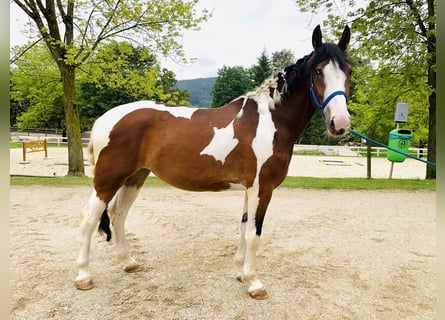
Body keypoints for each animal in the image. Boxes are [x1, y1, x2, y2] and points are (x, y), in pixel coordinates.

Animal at [77, 25, 354, 300]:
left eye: (349, 71)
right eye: (317, 71)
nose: (340, 123)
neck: (271, 121)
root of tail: (104, 119)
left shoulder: (250, 189)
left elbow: (244, 228)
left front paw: (241, 273)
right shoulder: (262, 189)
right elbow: (254, 234)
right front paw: (254, 283)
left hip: (135, 177)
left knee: (118, 215)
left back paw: (128, 262)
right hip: (108, 180)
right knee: (89, 220)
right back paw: (83, 276)